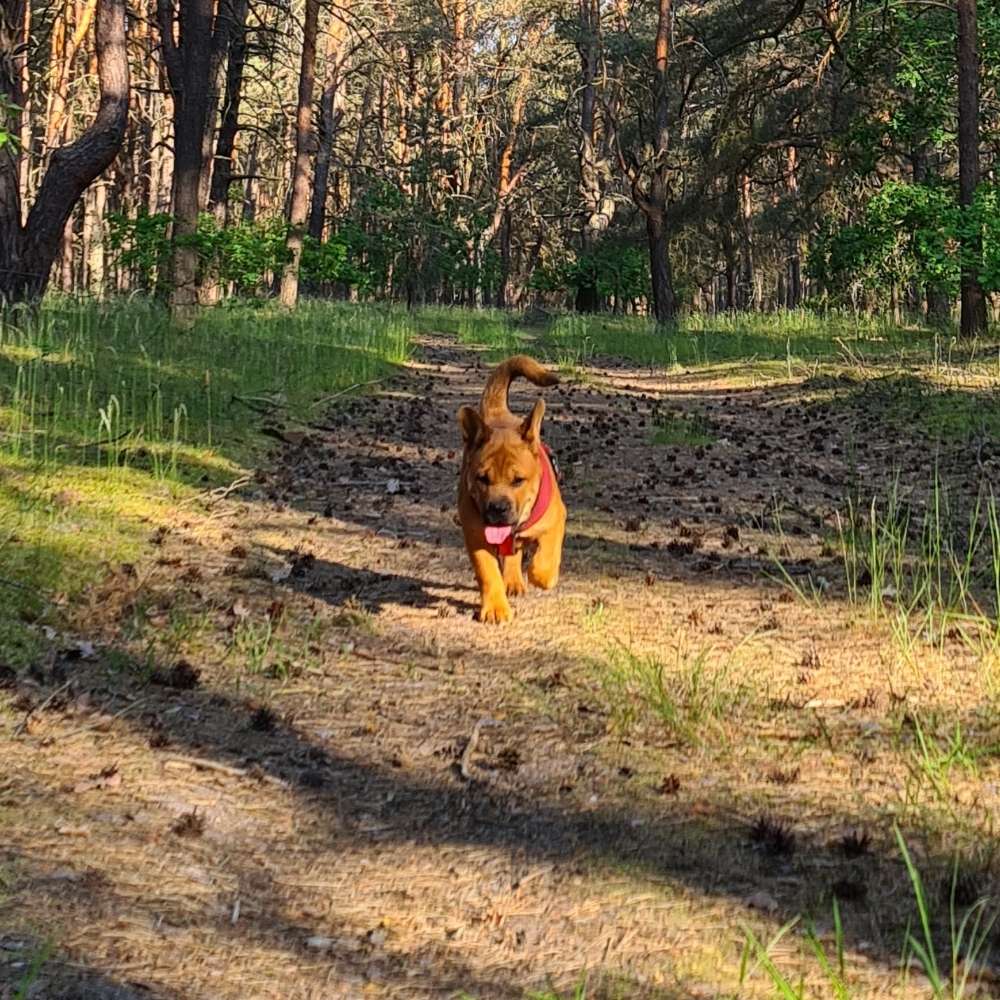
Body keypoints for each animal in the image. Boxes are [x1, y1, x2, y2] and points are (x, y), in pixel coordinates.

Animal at [458, 356, 568, 620]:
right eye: (481, 478)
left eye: (518, 480)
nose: (497, 507)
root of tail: (498, 411)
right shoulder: (476, 535)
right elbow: (488, 572)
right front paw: (496, 608)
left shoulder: (556, 519)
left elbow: (546, 558)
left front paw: (542, 575)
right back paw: (512, 581)